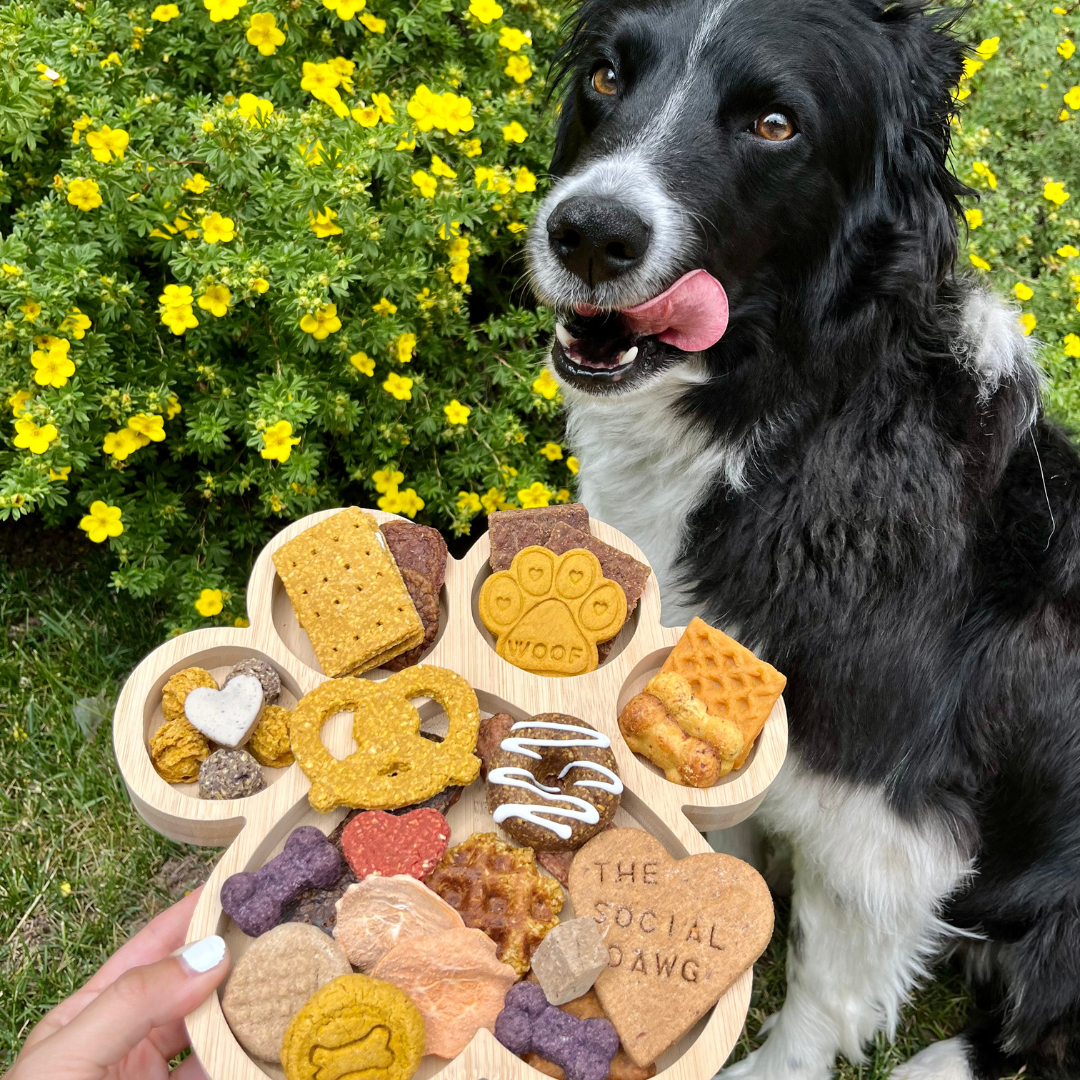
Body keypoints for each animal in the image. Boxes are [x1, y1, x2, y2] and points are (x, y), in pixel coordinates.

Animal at [524, 2, 1080, 1080]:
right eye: (607, 76)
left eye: (776, 125)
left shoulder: (887, 826)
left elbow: (826, 989)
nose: (590, 234)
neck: (795, 423)